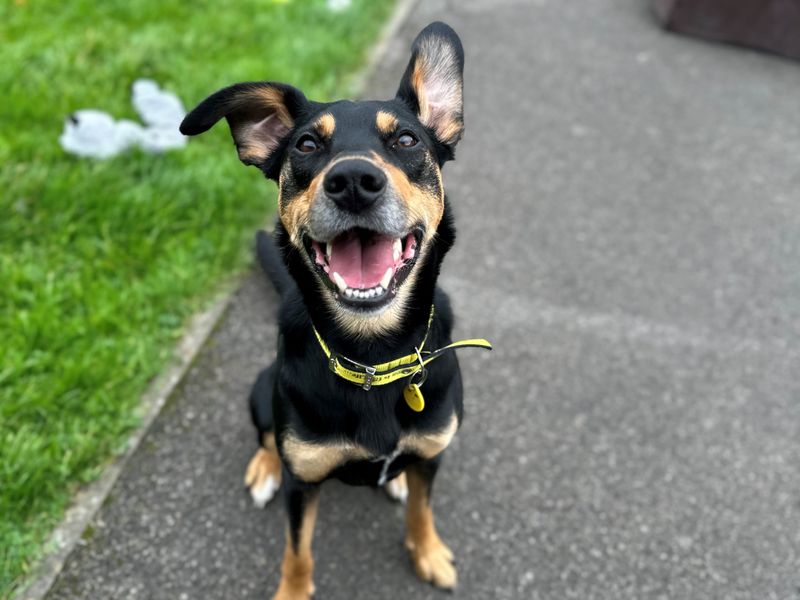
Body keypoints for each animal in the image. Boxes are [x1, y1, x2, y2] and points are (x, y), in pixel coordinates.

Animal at [179, 21, 488, 596]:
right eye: (306, 144)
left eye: (407, 139)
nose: (353, 182)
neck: (372, 355)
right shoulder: (303, 483)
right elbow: (297, 550)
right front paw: (292, 590)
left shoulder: (433, 453)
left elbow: (422, 508)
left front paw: (427, 551)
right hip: (262, 390)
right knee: (266, 435)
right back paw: (264, 469)